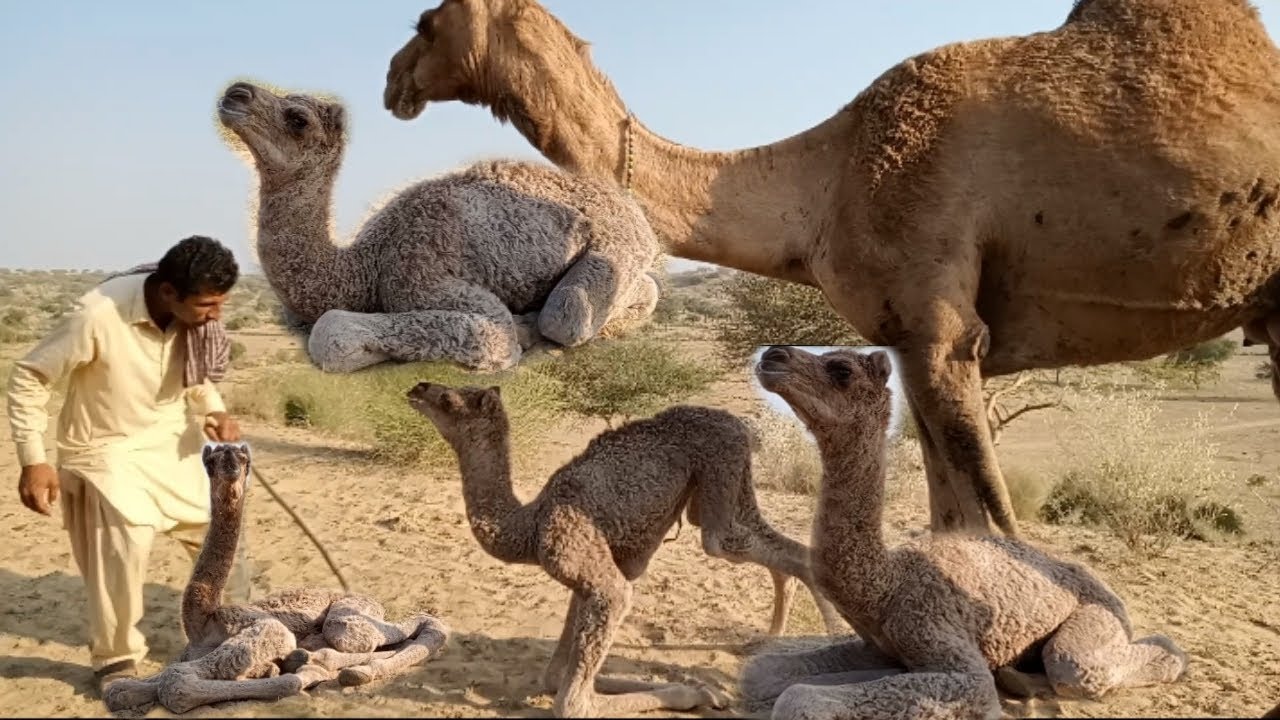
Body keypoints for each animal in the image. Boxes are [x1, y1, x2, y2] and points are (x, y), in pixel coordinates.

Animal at [104, 443, 448, 715]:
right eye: (212, 458)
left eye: (244, 457)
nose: (232, 467)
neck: (202, 619)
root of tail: (374, 600)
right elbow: (120, 691)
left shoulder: (266, 629)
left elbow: (176, 682)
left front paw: (295, 672)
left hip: (348, 620)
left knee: (419, 624)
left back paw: (333, 666)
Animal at [216, 80, 660, 374]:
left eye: (298, 119)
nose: (235, 93)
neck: (365, 267)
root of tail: (635, 209)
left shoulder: (421, 276)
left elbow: (331, 331)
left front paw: (519, 331)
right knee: (647, 289)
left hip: (621, 240)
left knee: (564, 318)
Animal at [382, 0, 1280, 537]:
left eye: (426, 20)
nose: (393, 82)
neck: (830, 176)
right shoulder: (908, 341)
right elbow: (953, 515)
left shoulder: (941, 330)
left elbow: (992, 519)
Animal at [406, 382, 843, 717]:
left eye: (449, 399)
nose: (418, 388)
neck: (528, 524)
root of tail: (742, 425)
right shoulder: (589, 571)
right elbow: (555, 676)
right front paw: (700, 688)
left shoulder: (584, 563)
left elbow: (573, 703)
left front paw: (698, 692)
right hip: (727, 482)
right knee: (770, 546)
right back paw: (776, 642)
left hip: (722, 466)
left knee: (726, 541)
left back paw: (828, 644)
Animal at [739, 346, 1187, 719]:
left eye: (841, 370)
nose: (772, 356)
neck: (885, 586)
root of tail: (1105, 588)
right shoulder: (879, 645)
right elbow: (761, 670)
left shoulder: (940, 637)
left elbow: (799, 697)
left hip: (1096, 619)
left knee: (1077, 666)